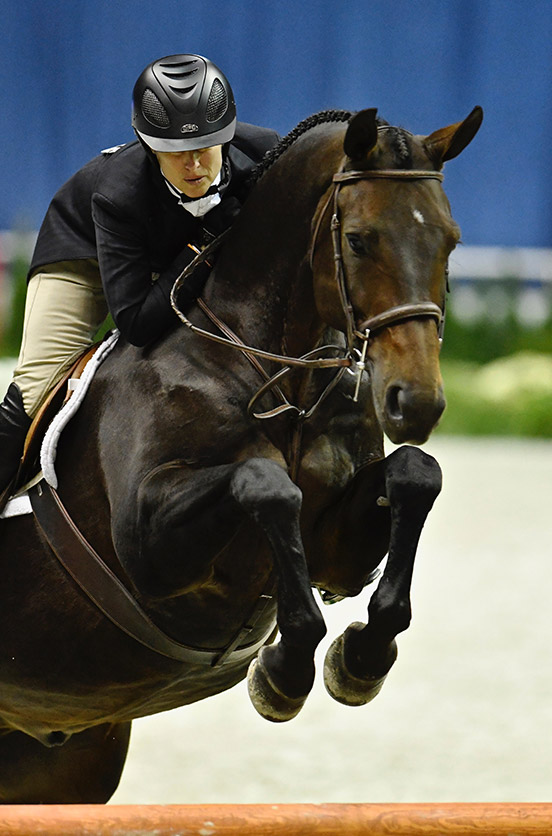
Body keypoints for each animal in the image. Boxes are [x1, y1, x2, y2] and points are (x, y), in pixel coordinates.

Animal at [0, 106, 484, 804]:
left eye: (450, 240)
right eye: (359, 240)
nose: (414, 403)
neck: (278, 376)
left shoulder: (339, 551)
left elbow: (416, 474)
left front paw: (360, 660)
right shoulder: (145, 546)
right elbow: (266, 483)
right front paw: (283, 671)